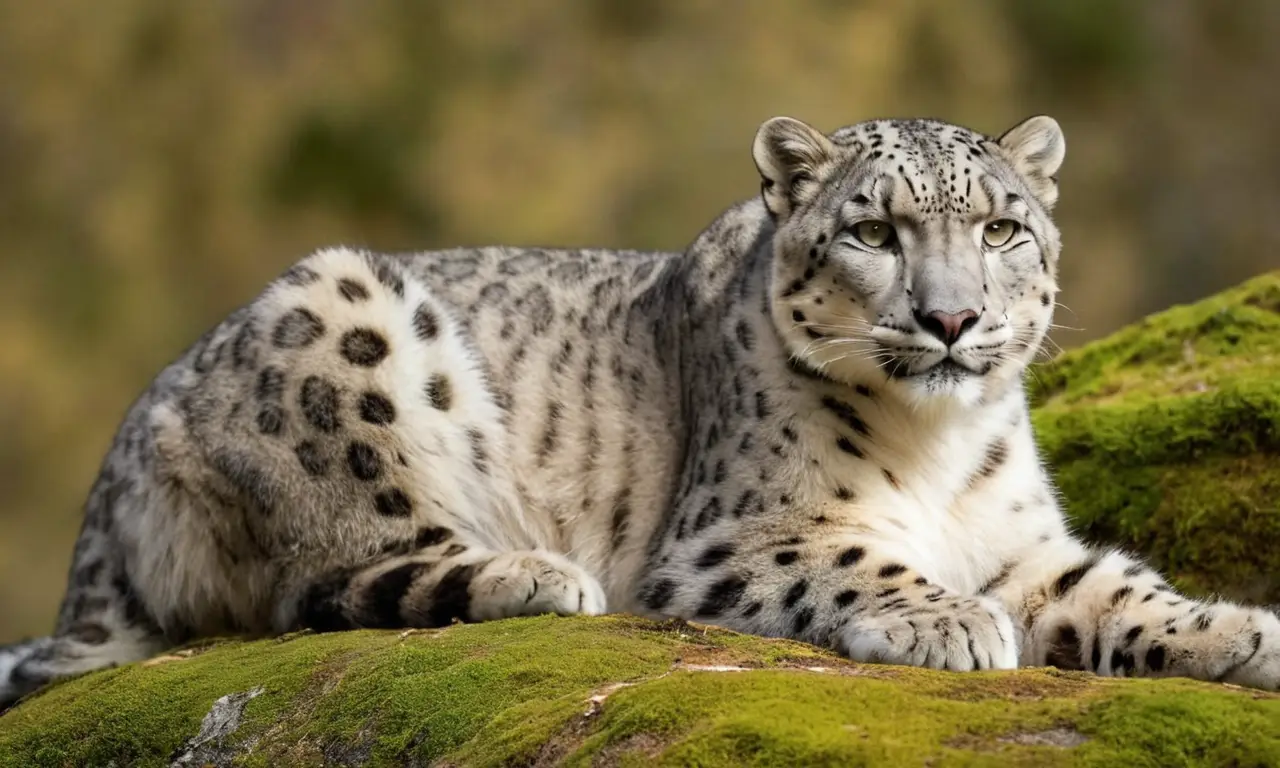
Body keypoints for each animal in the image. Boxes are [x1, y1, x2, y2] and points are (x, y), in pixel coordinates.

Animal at [3, 113, 1278, 710]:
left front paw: (1239, 631)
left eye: (1002, 226)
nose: (951, 319)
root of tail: (134, 423)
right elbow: (857, 561)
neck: (940, 443)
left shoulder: (1021, 544)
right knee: (328, 577)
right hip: (341, 321)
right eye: (873, 230)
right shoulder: (732, 537)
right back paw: (534, 575)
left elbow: (1114, 590)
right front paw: (943, 620)